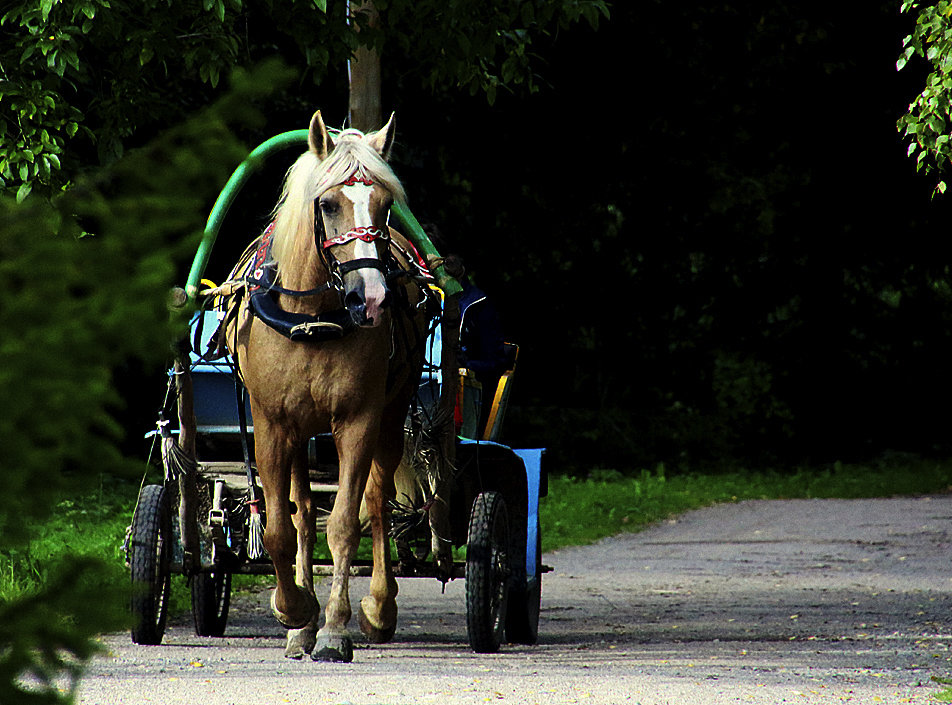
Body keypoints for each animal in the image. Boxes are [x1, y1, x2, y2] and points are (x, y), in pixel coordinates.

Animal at [221, 110, 434, 660]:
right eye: (328, 203)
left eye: (385, 203)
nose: (372, 298)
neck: (313, 318)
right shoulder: (272, 426)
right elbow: (280, 526)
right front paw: (294, 611)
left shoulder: (358, 421)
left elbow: (342, 524)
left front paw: (336, 627)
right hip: (297, 434)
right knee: (299, 510)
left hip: (390, 415)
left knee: (376, 502)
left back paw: (379, 606)